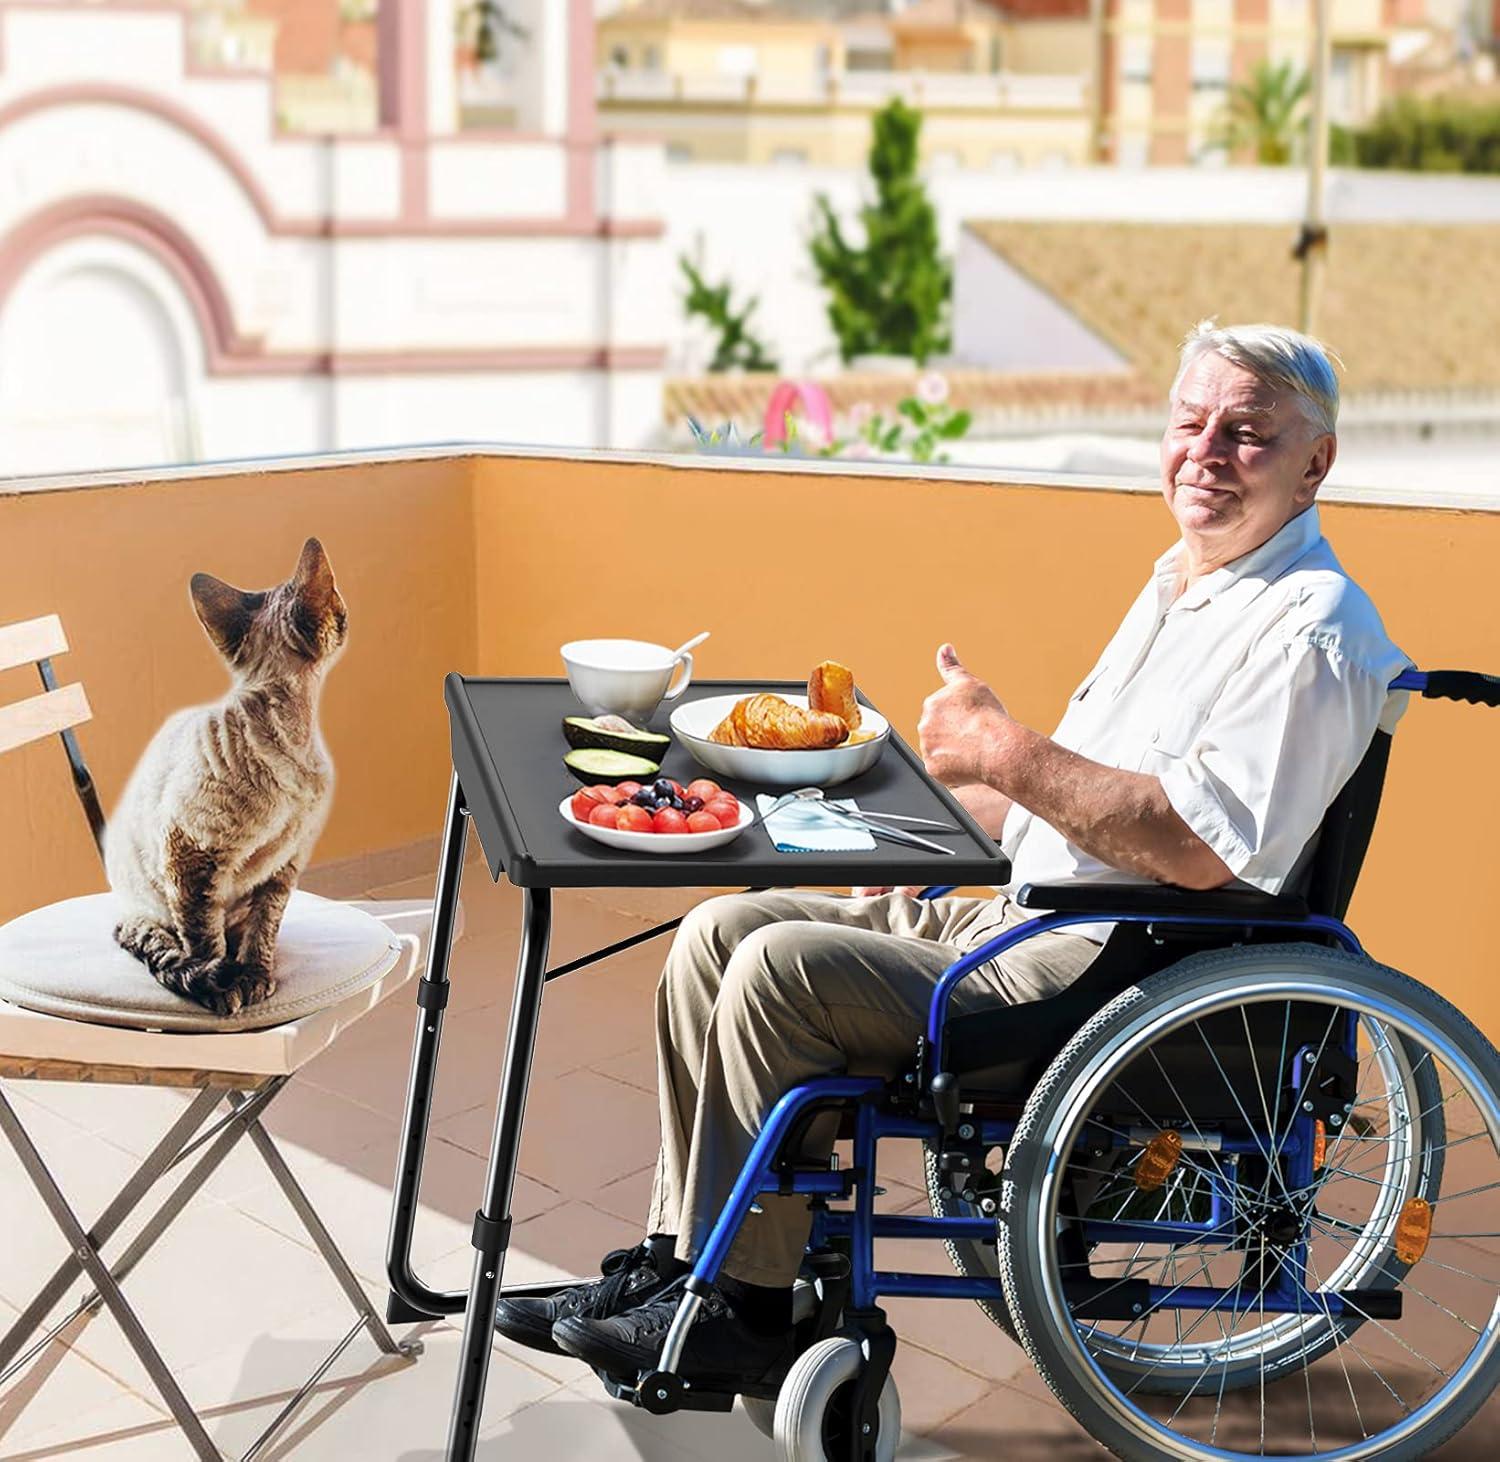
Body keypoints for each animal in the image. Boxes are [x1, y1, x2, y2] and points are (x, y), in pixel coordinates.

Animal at [108, 536, 348, 1019]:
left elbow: (264, 927)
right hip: (149, 897)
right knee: (165, 939)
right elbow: (203, 938)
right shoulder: (192, 852)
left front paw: (254, 974)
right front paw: (223, 985)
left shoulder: (284, 864)